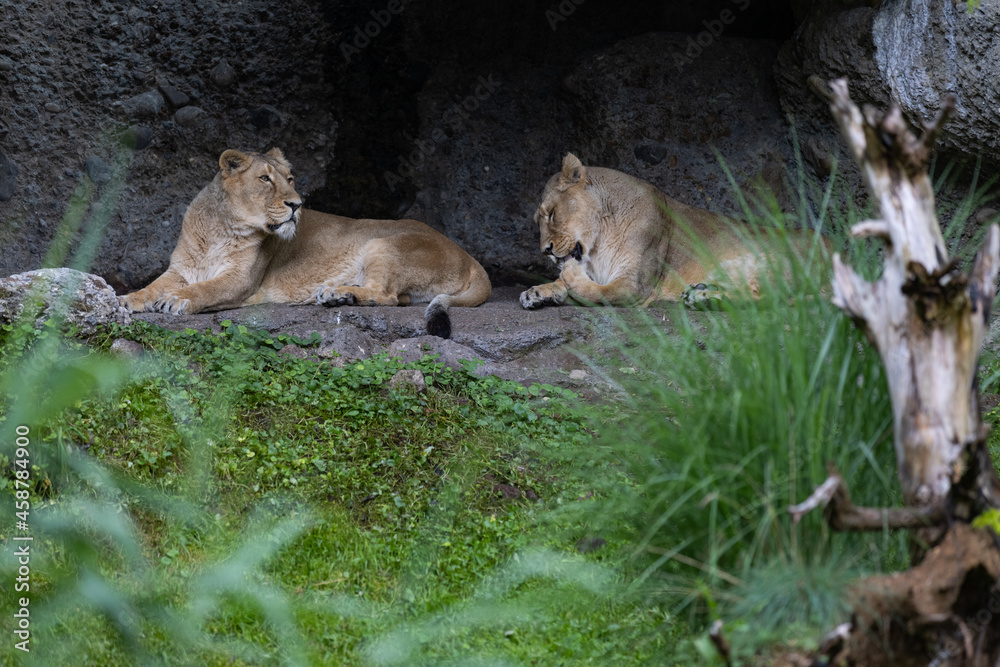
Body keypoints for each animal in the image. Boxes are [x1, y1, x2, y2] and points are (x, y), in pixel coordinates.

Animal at [122, 148, 491, 338]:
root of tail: (469, 256)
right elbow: (151, 287)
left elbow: (205, 289)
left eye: (290, 179)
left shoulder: (241, 280)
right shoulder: (179, 270)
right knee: (399, 298)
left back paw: (337, 294)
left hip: (382, 243)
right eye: (264, 179)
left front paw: (177, 301)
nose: (296, 204)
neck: (221, 228)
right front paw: (126, 300)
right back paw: (339, 296)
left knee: (387, 296)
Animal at [520, 153, 825, 309]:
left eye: (552, 213)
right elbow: (569, 283)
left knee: (770, 303)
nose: (545, 251)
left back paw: (703, 299)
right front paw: (538, 291)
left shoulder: (635, 285)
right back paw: (700, 292)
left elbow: (594, 292)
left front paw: (567, 277)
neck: (599, 238)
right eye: (537, 221)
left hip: (779, 260)